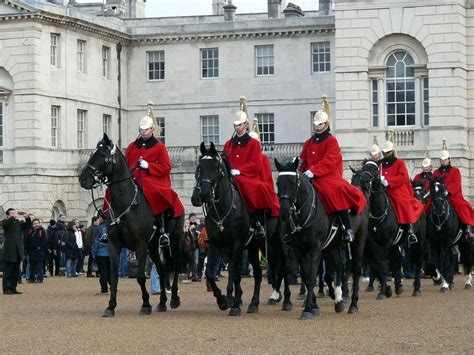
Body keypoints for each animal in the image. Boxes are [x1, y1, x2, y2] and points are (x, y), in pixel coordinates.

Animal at [78, 134, 183, 318]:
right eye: (92, 153)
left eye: (103, 154)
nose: (83, 178)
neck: (126, 203)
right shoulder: (114, 245)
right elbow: (113, 277)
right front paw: (111, 306)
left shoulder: (140, 244)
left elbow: (140, 276)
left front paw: (146, 305)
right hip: (153, 246)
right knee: (162, 270)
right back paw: (162, 303)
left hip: (174, 240)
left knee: (175, 266)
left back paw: (174, 299)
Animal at [192, 143, 284, 316]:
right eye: (199, 167)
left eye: (215, 167)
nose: (200, 196)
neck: (223, 209)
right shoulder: (216, 244)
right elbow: (211, 273)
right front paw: (223, 300)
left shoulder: (237, 244)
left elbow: (235, 274)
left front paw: (235, 304)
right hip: (254, 246)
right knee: (257, 273)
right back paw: (253, 303)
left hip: (273, 242)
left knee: (278, 265)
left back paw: (273, 297)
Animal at [274, 157, 366, 318]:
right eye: (278, 183)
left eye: (292, 182)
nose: (284, 212)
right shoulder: (298, 249)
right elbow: (305, 275)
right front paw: (314, 305)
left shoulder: (315, 249)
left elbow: (312, 276)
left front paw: (308, 309)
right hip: (333, 246)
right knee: (339, 266)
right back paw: (338, 300)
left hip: (358, 243)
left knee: (356, 270)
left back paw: (353, 304)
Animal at [360, 161, 426, 298]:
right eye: (363, 168)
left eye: (375, 170)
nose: (363, 181)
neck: (379, 212)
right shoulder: (375, 244)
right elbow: (379, 265)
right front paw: (386, 289)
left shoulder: (386, 243)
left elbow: (384, 265)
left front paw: (383, 292)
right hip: (396, 244)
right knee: (397, 261)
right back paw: (398, 287)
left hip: (419, 241)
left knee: (418, 261)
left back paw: (416, 288)